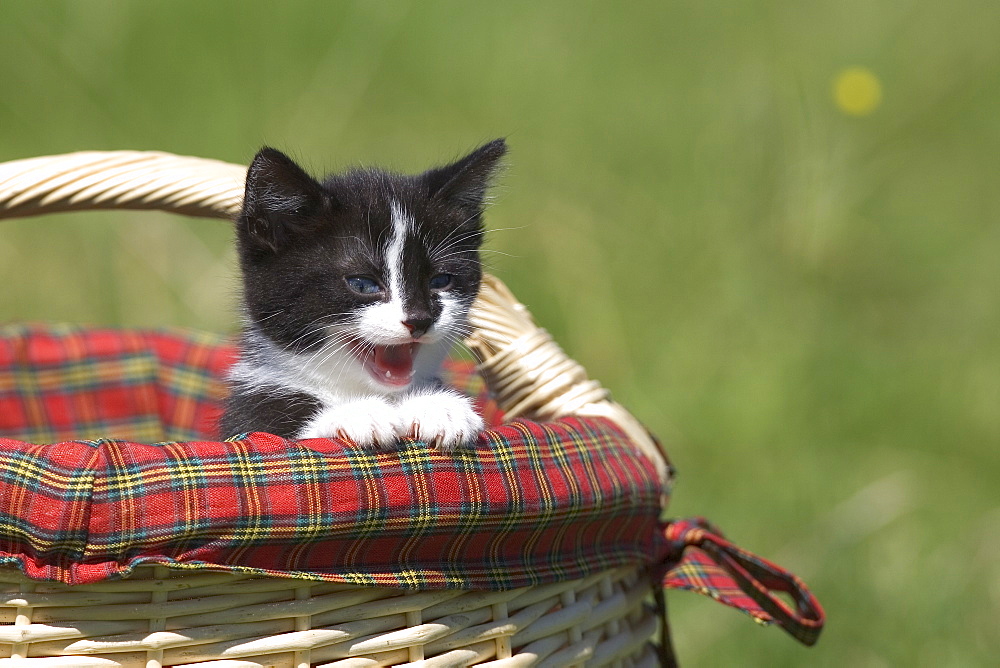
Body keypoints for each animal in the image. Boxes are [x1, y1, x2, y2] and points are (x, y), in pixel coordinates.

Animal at [216, 139, 504, 452]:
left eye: (441, 280)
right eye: (363, 284)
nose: (420, 319)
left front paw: (439, 407)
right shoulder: (249, 412)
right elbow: (275, 434)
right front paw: (359, 414)